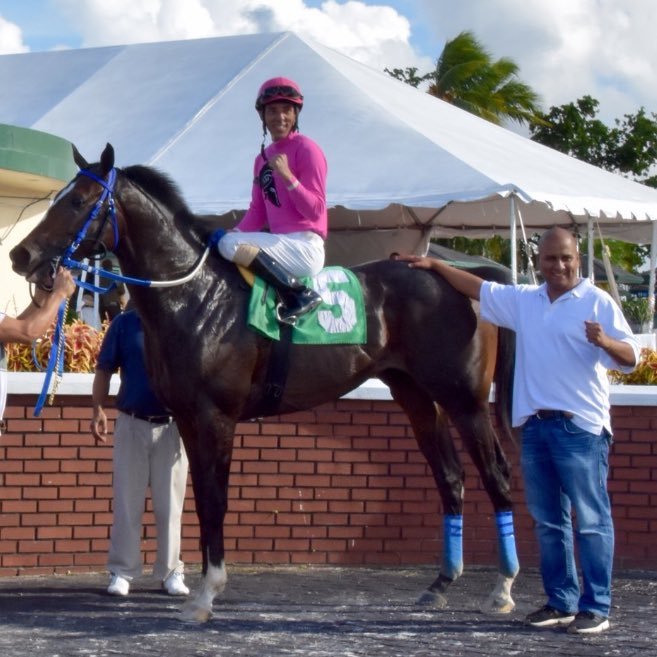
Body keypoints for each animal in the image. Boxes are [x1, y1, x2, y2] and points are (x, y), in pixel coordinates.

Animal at [9, 144, 516, 620]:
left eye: (78, 201)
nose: (20, 254)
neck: (195, 296)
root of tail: (471, 279)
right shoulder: (188, 419)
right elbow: (201, 502)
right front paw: (202, 588)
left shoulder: (217, 418)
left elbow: (216, 501)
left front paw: (207, 594)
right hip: (418, 398)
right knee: (451, 478)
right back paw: (440, 584)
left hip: (466, 402)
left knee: (496, 476)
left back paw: (503, 589)